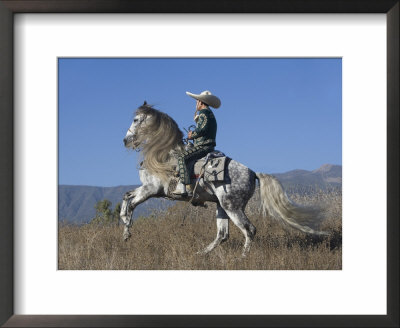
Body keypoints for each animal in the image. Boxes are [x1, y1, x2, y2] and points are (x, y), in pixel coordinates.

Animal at [120, 102, 326, 256]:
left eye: (136, 119)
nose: (125, 140)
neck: (163, 154)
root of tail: (253, 173)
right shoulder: (146, 188)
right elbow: (126, 197)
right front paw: (124, 228)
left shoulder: (151, 189)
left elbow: (132, 204)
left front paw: (127, 229)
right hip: (221, 206)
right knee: (223, 234)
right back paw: (200, 254)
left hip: (231, 206)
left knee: (249, 230)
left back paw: (242, 258)